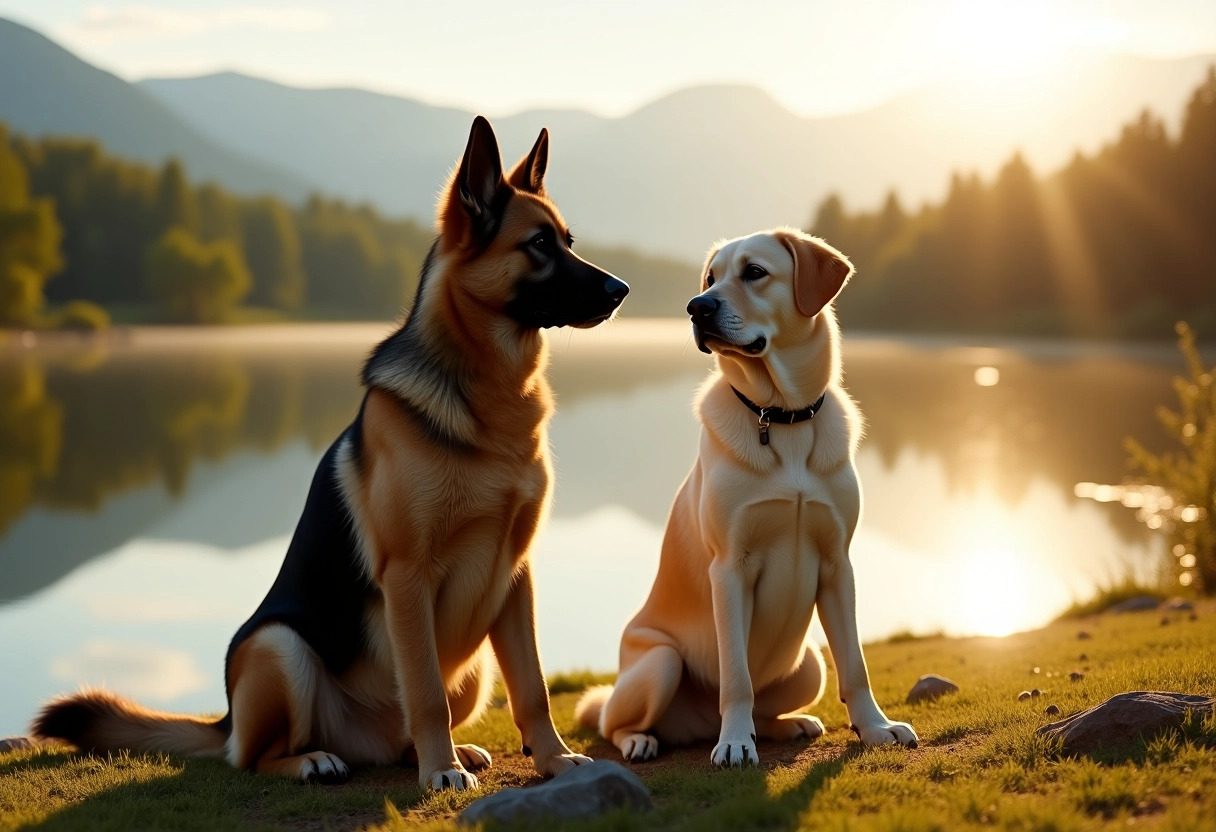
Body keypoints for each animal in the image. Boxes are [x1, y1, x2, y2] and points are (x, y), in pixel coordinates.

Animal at [34, 115, 632, 788]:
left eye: (568, 240)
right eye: (538, 245)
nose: (622, 290)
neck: (486, 396)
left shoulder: (516, 575)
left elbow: (532, 685)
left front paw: (553, 758)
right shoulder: (408, 576)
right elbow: (425, 689)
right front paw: (441, 772)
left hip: (473, 671)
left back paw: (435, 751)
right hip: (279, 647)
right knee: (254, 756)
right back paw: (318, 759)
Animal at [576, 227, 914, 768]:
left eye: (754, 272)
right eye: (711, 278)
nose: (696, 307)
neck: (780, 415)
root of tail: (695, 726)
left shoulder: (837, 564)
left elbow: (856, 666)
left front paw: (876, 727)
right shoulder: (730, 567)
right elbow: (737, 676)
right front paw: (734, 743)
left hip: (810, 665)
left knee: (773, 706)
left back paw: (792, 723)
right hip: (659, 662)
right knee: (611, 720)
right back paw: (644, 740)